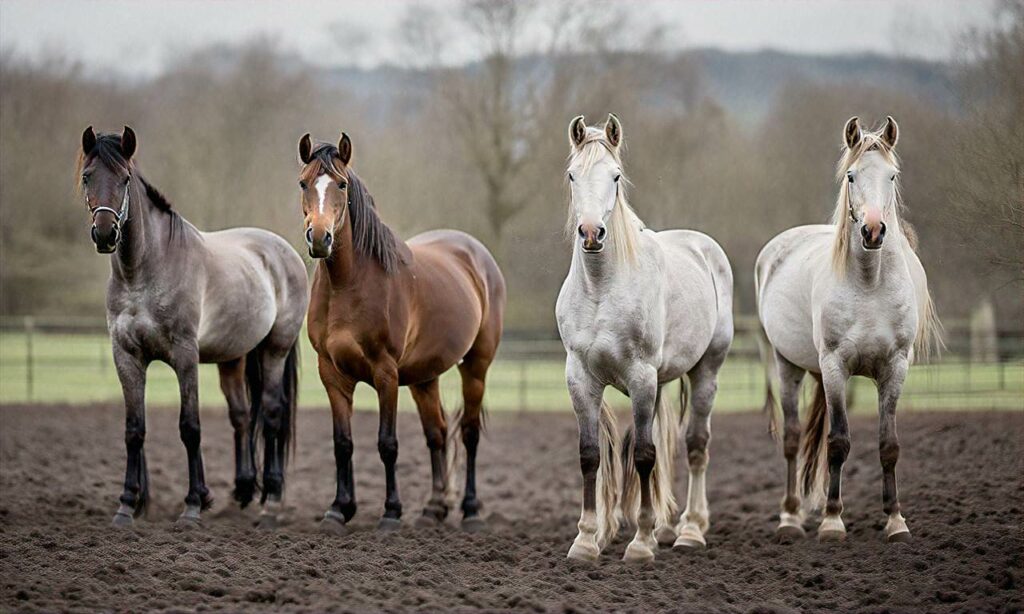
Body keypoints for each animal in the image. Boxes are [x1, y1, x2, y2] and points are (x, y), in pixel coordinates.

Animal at [78, 125, 307, 528]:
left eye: (124, 178)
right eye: (88, 176)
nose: (105, 234)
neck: (144, 272)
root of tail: (284, 251)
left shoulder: (185, 355)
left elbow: (190, 427)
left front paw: (193, 505)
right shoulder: (126, 356)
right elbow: (134, 429)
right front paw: (127, 505)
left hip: (275, 349)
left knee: (273, 414)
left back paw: (272, 500)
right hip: (234, 358)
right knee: (242, 416)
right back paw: (244, 491)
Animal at [296, 130, 503, 532]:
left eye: (341, 185)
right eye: (303, 182)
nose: (320, 238)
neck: (349, 284)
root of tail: (476, 255)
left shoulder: (385, 373)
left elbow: (387, 443)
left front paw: (391, 512)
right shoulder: (331, 373)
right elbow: (342, 443)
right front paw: (339, 509)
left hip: (476, 366)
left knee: (469, 433)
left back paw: (470, 510)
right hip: (425, 376)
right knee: (437, 432)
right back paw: (434, 508)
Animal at [557, 115, 733, 560]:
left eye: (616, 176)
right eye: (572, 175)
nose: (591, 233)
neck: (601, 289)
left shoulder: (640, 376)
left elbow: (643, 454)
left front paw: (639, 544)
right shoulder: (580, 378)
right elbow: (591, 455)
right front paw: (587, 540)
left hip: (705, 372)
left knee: (695, 445)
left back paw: (690, 529)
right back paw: (663, 529)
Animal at [757, 117, 937, 544]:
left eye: (892, 176)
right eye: (852, 176)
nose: (873, 231)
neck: (870, 283)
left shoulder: (895, 368)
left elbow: (888, 444)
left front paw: (895, 520)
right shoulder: (835, 366)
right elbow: (837, 442)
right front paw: (832, 520)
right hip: (786, 366)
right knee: (793, 439)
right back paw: (791, 516)